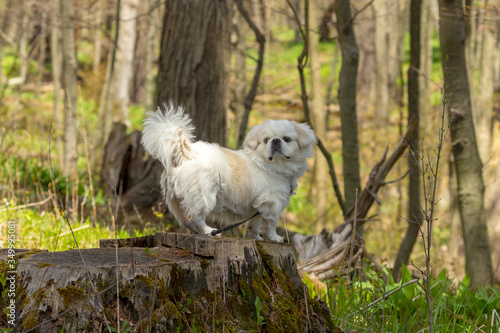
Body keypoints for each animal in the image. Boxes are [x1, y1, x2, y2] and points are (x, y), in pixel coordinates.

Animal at [140, 103, 316, 241]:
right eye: (266, 140)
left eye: (287, 139)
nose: (275, 141)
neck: (274, 166)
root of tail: (184, 153)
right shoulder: (272, 204)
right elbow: (271, 225)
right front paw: (274, 238)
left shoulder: (259, 207)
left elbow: (254, 225)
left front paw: (255, 238)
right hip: (204, 196)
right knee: (196, 217)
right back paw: (208, 231)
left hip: (173, 200)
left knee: (185, 220)